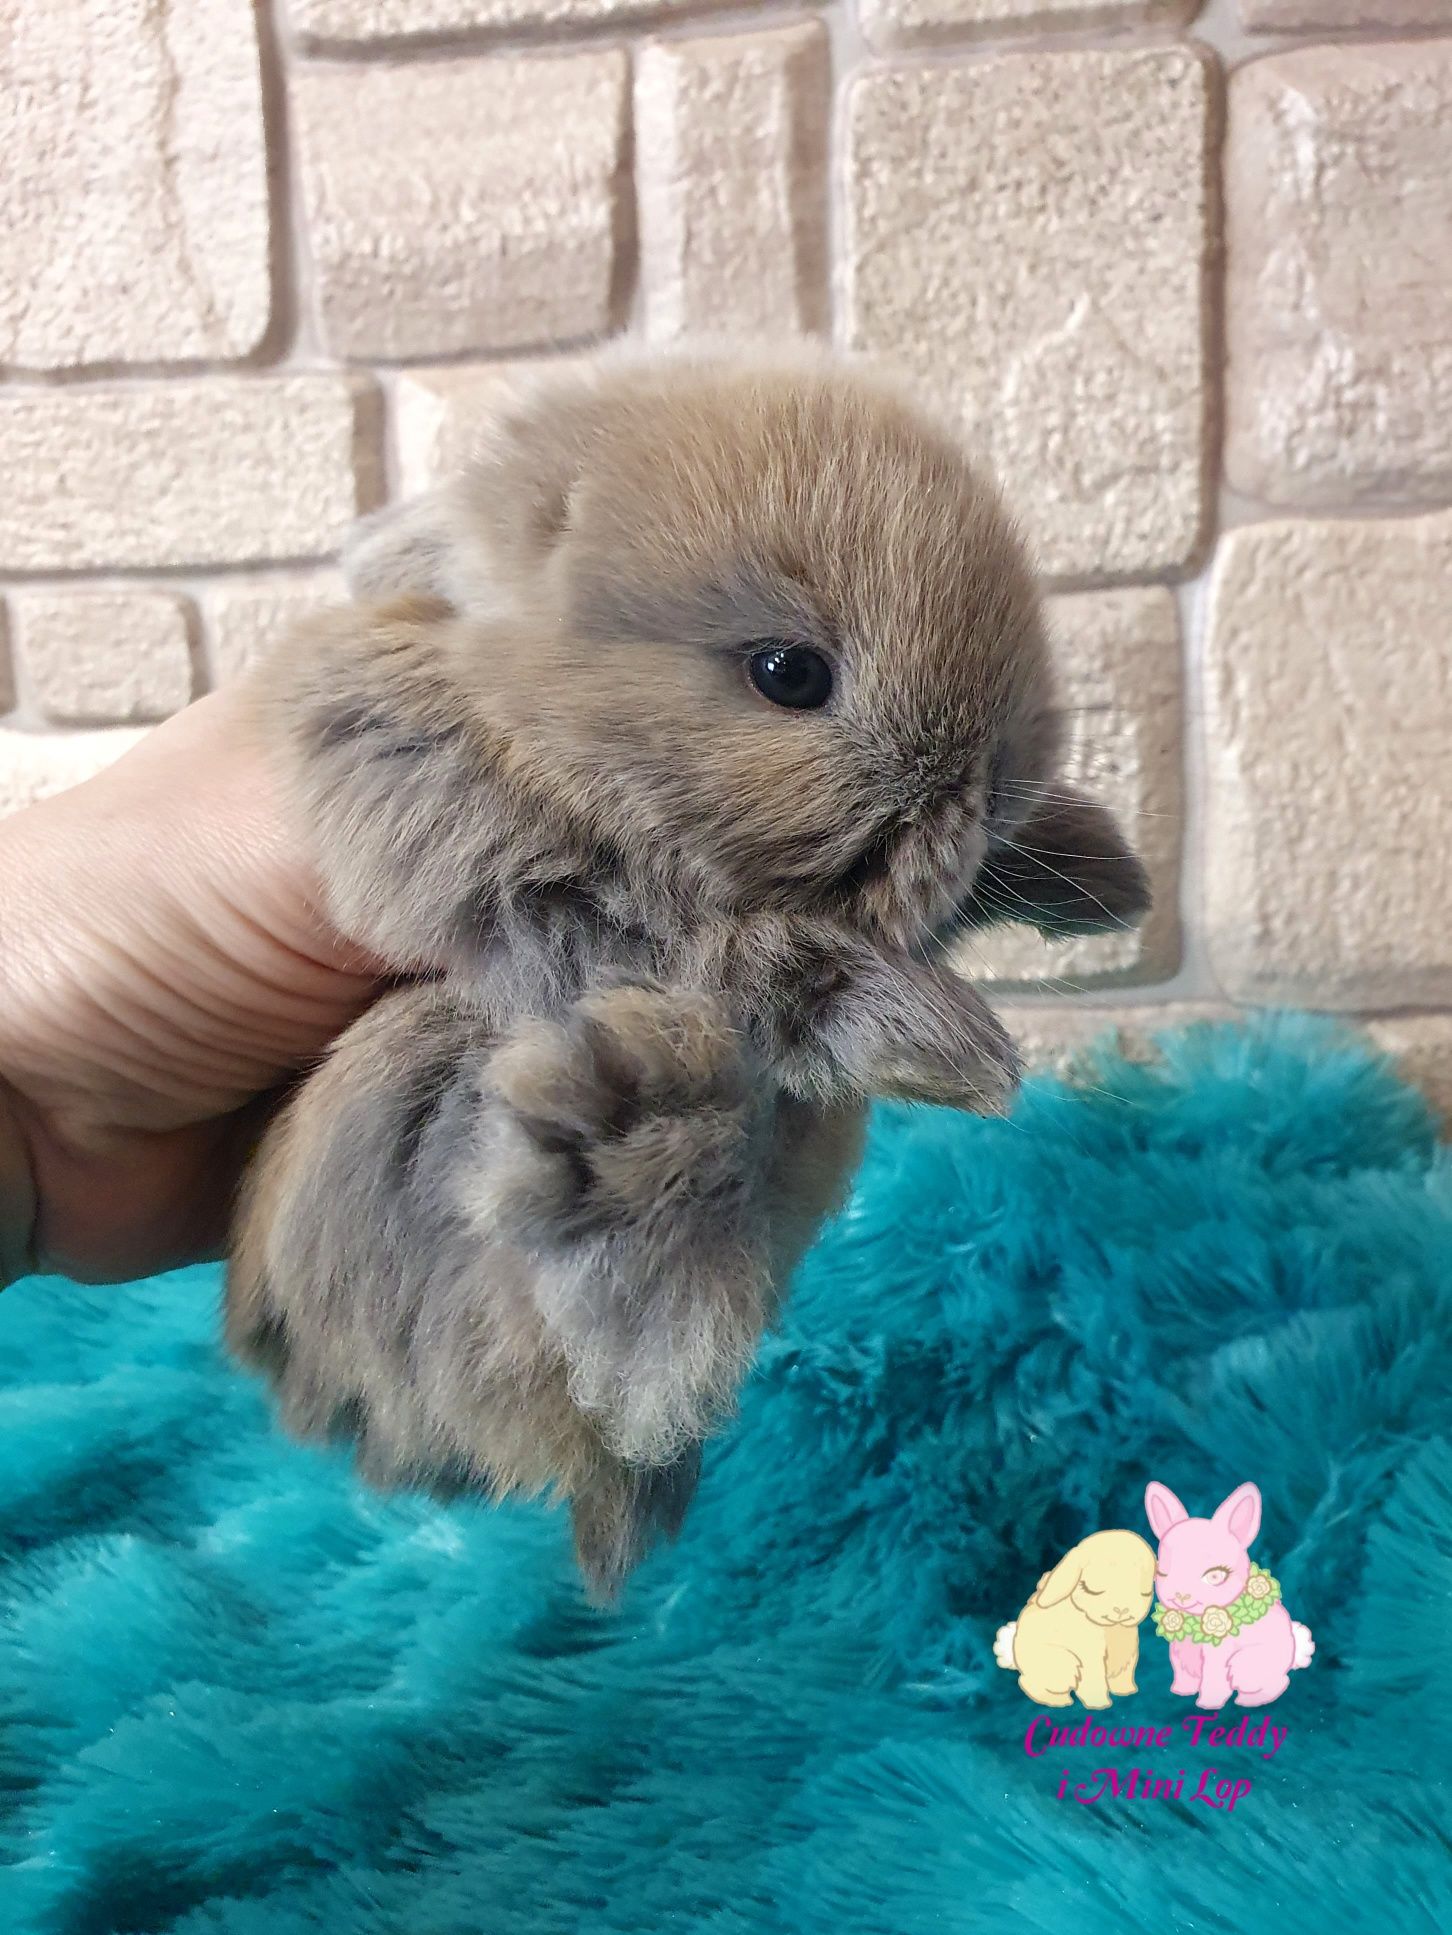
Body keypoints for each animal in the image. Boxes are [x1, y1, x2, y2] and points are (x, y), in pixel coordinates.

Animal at [227, 344, 1146, 1586]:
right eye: (788, 673)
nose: (995, 782)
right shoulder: (542, 884)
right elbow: (753, 956)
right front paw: (953, 1046)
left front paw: (1101, 875)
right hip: (408, 1103)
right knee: (598, 1334)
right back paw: (622, 1137)